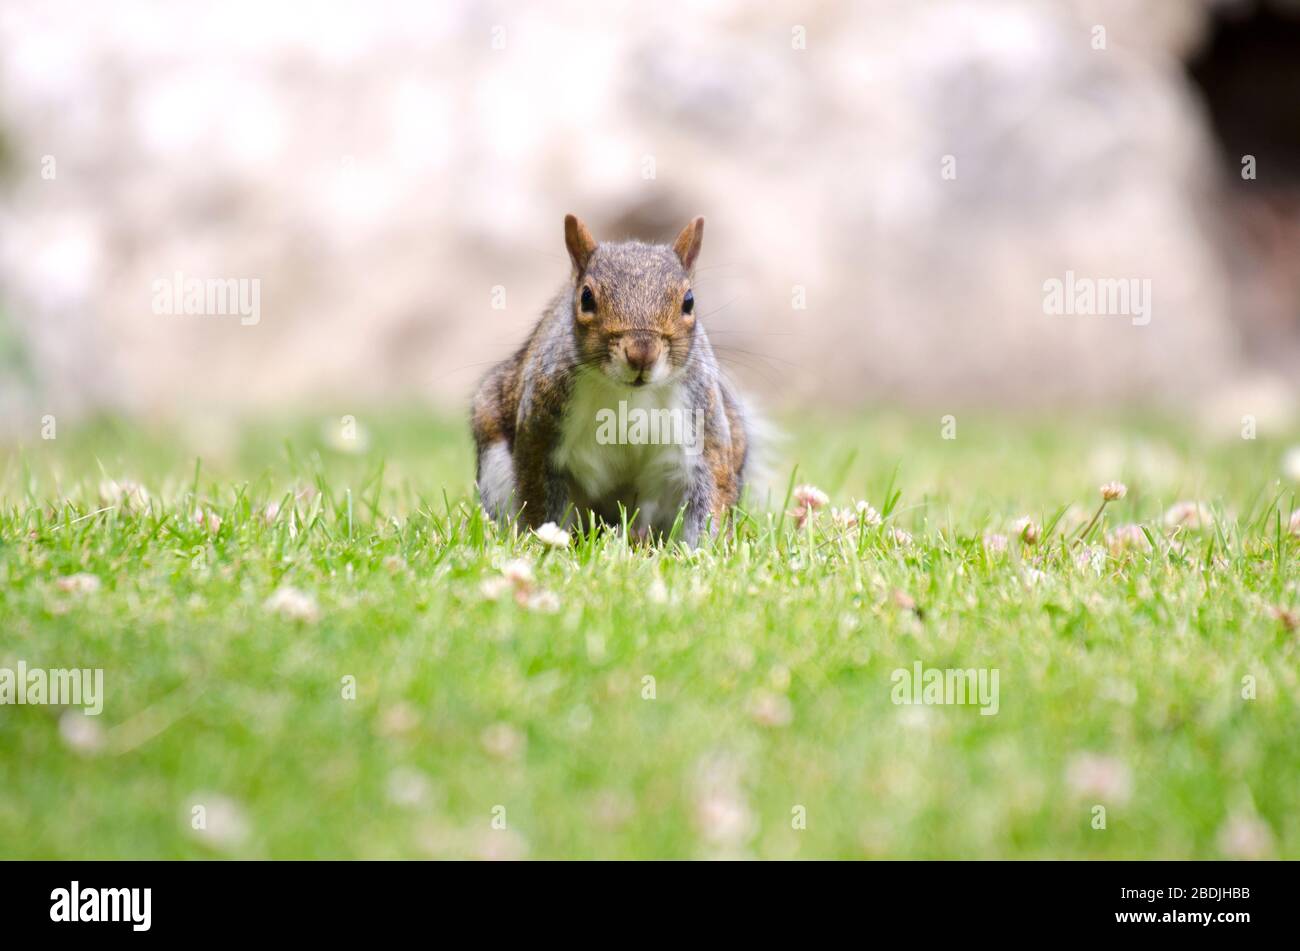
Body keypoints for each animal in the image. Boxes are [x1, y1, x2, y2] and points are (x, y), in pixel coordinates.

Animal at [473, 213, 754, 545]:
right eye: (586, 298)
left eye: (689, 301)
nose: (641, 353)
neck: (627, 394)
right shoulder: (540, 427)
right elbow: (539, 497)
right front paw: (539, 539)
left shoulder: (703, 423)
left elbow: (711, 493)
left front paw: (707, 549)